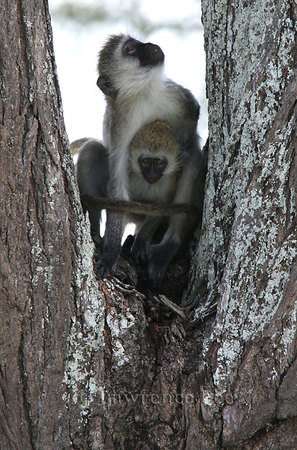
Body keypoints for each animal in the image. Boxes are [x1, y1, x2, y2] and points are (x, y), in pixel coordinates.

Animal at [76, 121, 205, 286]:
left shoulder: (168, 183)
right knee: (90, 149)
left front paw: (140, 242)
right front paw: (111, 252)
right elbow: (118, 201)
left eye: (159, 162)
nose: (151, 174)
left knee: (193, 160)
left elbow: (161, 209)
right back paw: (95, 230)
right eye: (145, 161)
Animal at [97, 32, 201, 278]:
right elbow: (117, 183)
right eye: (130, 48)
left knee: (192, 160)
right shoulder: (120, 124)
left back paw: (170, 244)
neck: (143, 94)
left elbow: (194, 115)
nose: (150, 44)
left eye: (137, 41)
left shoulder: (175, 95)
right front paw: (111, 251)